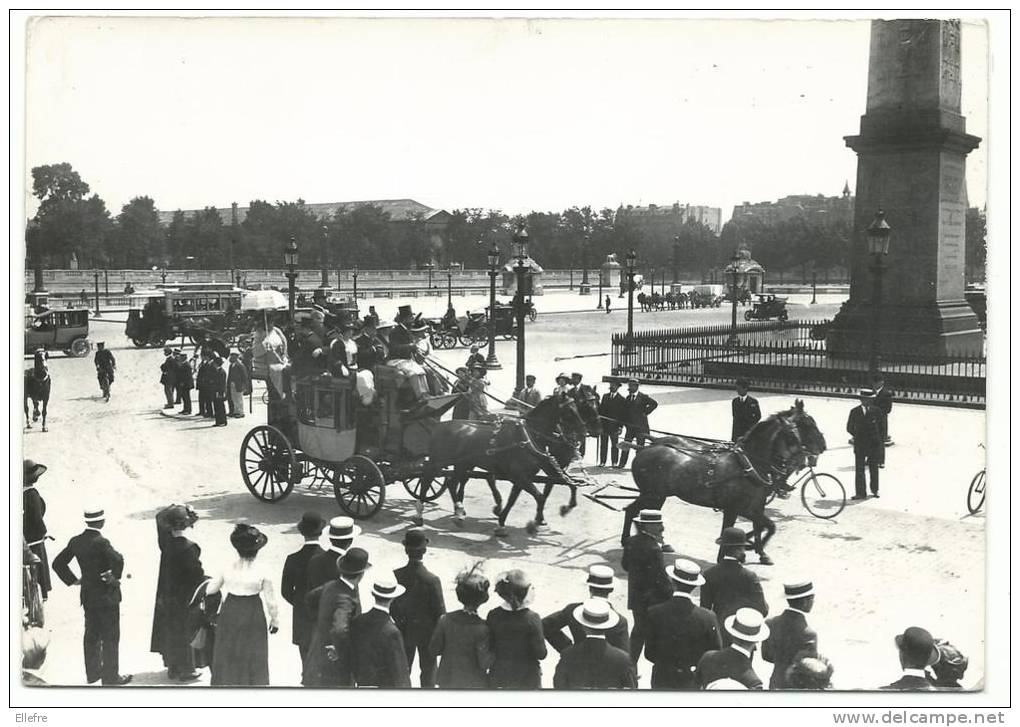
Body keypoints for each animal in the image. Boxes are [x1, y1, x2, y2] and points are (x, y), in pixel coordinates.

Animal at [418, 393, 599, 534]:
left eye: (577, 408)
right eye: (569, 411)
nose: (584, 431)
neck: (529, 436)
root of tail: (439, 425)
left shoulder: (527, 475)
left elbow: (517, 498)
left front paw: (502, 522)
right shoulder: (521, 474)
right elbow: (541, 496)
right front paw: (534, 523)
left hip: (463, 465)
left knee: (454, 482)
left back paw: (460, 512)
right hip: (437, 462)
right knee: (427, 480)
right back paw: (420, 514)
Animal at [616, 399, 824, 562]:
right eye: (805, 425)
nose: (822, 446)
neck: (748, 464)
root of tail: (646, 446)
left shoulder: (755, 508)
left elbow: (766, 526)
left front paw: (758, 550)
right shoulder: (735, 508)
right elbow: (739, 530)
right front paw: (733, 553)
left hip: (658, 496)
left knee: (645, 514)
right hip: (652, 494)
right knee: (631, 511)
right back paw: (628, 540)